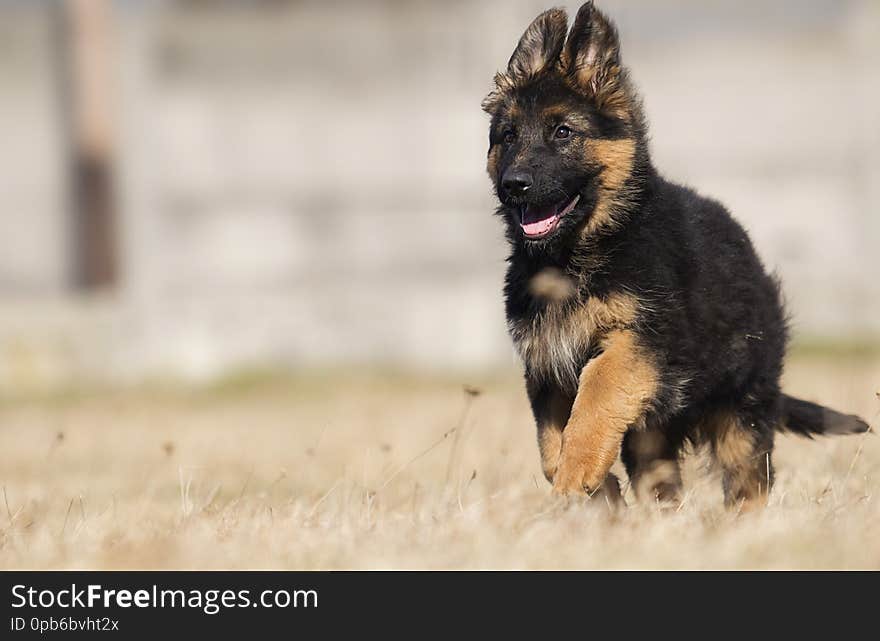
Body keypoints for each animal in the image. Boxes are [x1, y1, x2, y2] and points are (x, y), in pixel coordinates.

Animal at [484, 2, 868, 508]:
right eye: (508, 136)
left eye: (563, 132)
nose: (515, 184)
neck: (588, 248)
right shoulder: (546, 364)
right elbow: (551, 444)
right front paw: (596, 490)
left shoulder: (638, 343)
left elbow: (596, 393)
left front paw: (578, 472)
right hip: (655, 436)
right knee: (661, 483)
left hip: (740, 413)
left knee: (749, 481)